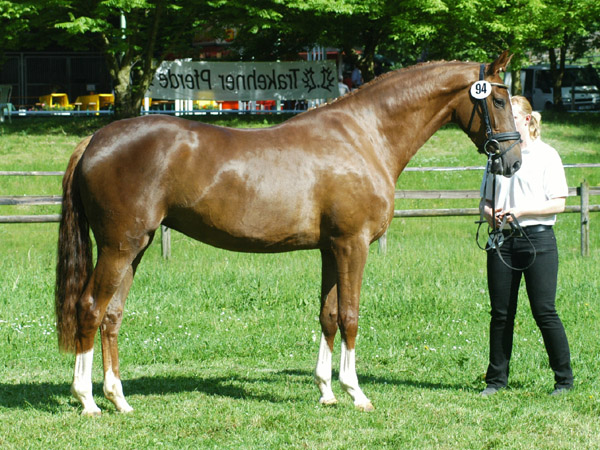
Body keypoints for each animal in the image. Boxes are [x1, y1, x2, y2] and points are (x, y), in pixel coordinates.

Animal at [57, 51, 520, 414]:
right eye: (498, 99)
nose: (513, 160)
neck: (364, 136)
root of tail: (95, 140)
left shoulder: (331, 249)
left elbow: (329, 315)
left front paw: (327, 392)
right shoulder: (352, 245)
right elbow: (350, 316)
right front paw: (356, 393)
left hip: (135, 247)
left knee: (112, 315)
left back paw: (118, 399)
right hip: (119, 247)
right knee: (90, 308)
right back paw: (87, 400)